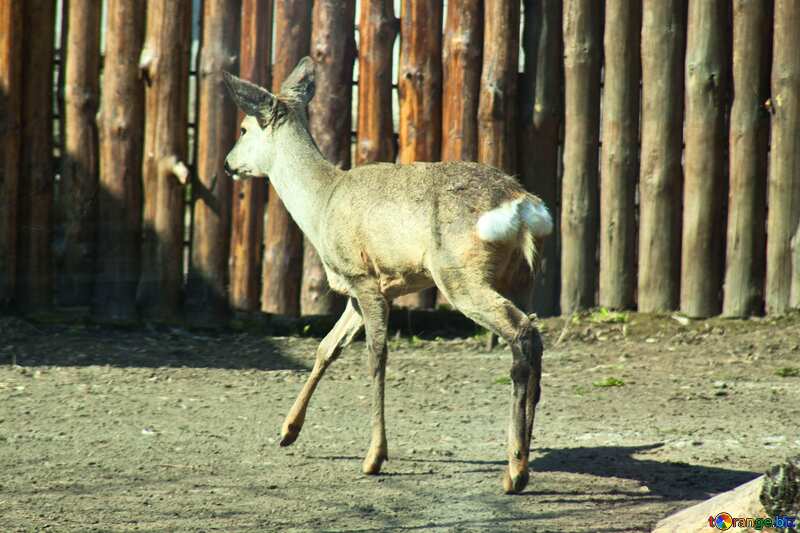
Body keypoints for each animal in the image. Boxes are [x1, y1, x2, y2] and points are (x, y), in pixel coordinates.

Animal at [222, 56, 552, 492]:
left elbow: (376, 355)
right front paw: (287, 431)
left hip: (459, 273)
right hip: (522, 276)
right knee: (534, 335)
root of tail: (524, 206)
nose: (228, 163)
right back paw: (522, 458)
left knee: (521, 332)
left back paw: (514, 470)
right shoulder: (364, 288)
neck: (321, 205)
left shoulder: (363, 275)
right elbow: (326, 347)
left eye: (244, 128)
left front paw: (374, 457)